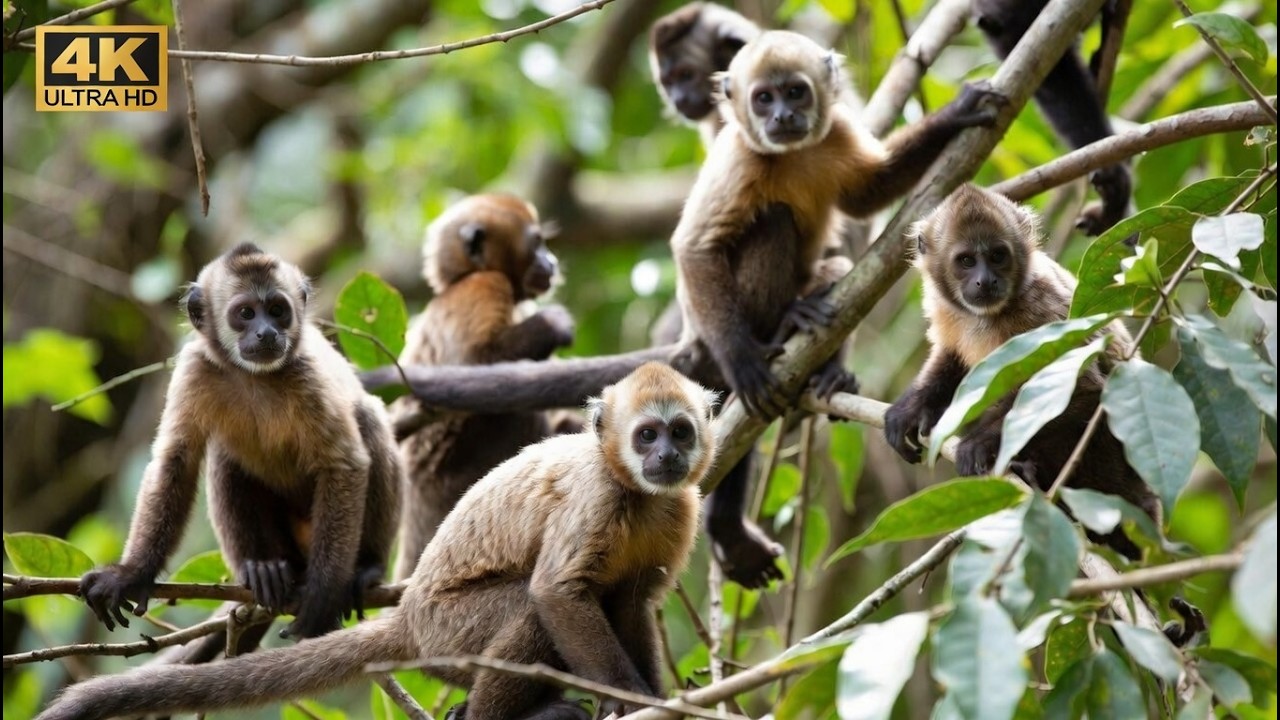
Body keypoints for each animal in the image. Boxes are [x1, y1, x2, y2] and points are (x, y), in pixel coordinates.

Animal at [38, 362, 719, 720]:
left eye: (680, 433)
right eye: (647, 434)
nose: (664, 456)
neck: (636, 490)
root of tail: (410, 616)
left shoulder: (679, 509)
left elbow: (628, 603)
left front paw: (656, 700)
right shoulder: (596, 496)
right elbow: (557, 595)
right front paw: (635, 701)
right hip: (449, 633)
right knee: (530, 609)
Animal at [76, 243, 402, 642]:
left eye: (277, 311)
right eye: (245, 314)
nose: (266, 333)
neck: (253, 378)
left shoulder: (308, 374)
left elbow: (345, 463)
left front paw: (324, 594)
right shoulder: (194, 368)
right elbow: (176, 460)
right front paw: (132, 574)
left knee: (366, 417)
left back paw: (365, 568)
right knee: (225, 456)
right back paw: (264, 568)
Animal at [389, 193, 574, 580]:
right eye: (537, 243)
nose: (551, 261)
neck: (465, 276)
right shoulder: (485, 286)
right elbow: (476, 365)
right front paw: (554, 324)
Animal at [882, 184, 1159, 558]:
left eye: (998, 255)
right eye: (966, 261)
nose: (985, 281)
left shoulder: (1041, 311)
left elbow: (1089, 390)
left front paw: (980, 444)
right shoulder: (946, 310)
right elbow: (953, 360)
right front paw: (911, 411)